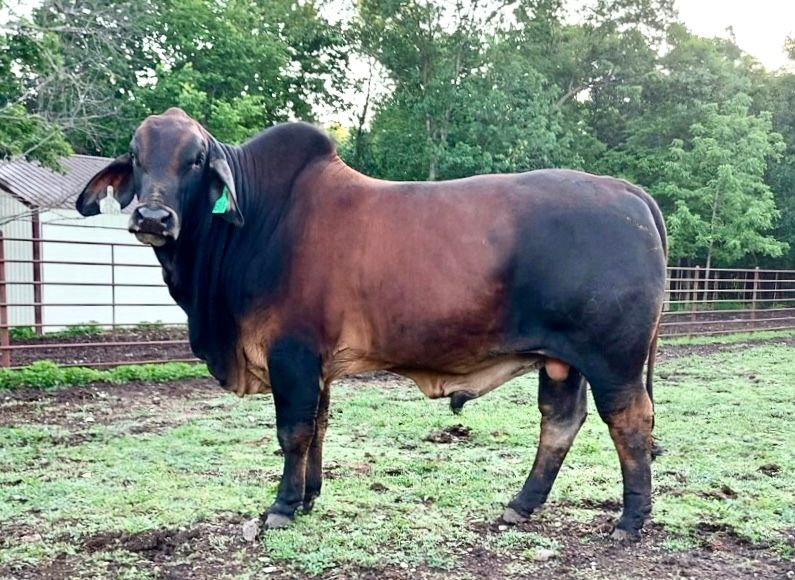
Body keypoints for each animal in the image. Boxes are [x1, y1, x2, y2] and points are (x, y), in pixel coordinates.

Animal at [76, 108, 667, 541]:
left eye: (196, 159)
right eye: (136, 156)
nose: (153, 218)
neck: (257, 221)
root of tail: (628, 191)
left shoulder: (291, 354)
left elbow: (293, 431)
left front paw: (282, 506)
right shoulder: (316, 365)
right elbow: (318, 426)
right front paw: (309, 496)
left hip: (613, 358)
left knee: (629, 421)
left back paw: (630, 520)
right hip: (562, 359)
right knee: (560, 422)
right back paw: (521, 505)